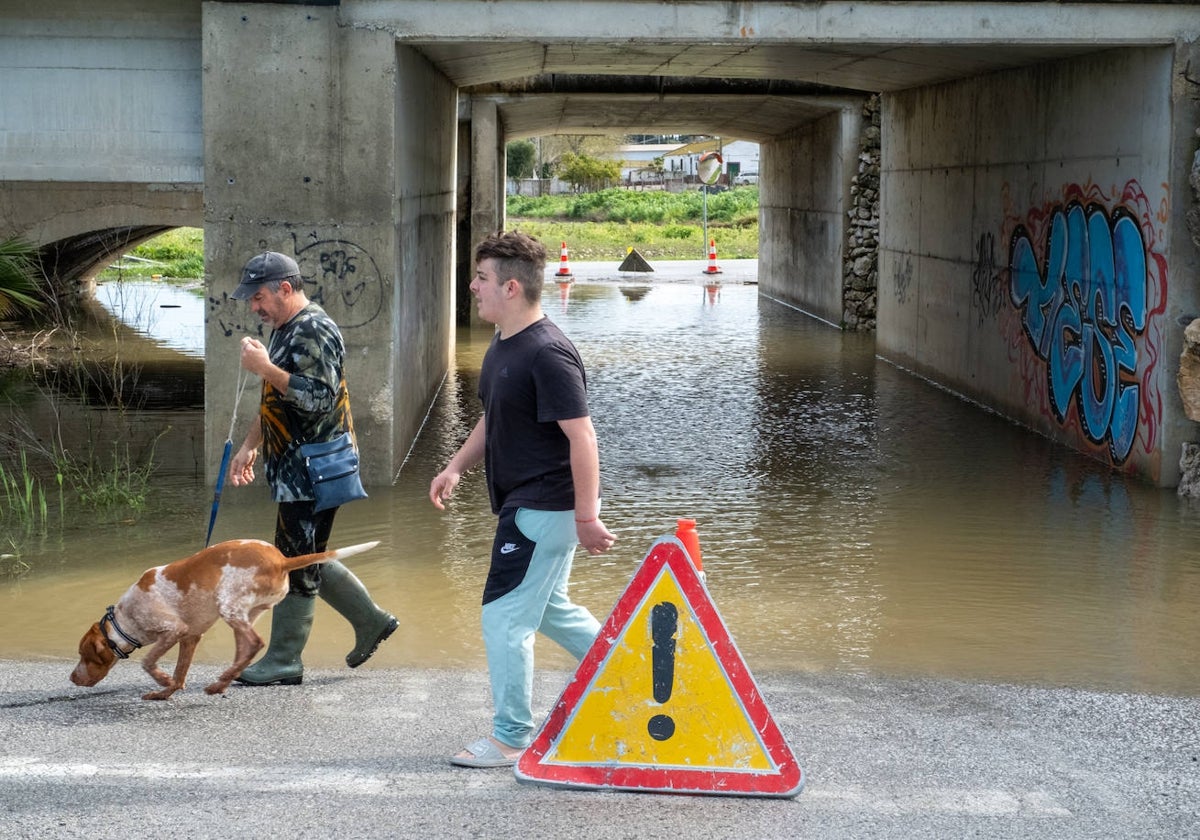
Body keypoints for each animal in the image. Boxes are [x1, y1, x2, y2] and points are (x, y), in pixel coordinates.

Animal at [70, 542, 379, 700]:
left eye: (82, 655)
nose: (72, 678)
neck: (125, 617)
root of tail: (281, 560)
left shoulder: (174, 630)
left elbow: (148, 662)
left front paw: (161, 681)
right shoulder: (190, 637)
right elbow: (180, 674)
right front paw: (166, 692)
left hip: (229, 606)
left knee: (255, 643)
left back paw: (223, 681)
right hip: (245, 613)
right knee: (244, 650)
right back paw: (222, 684)